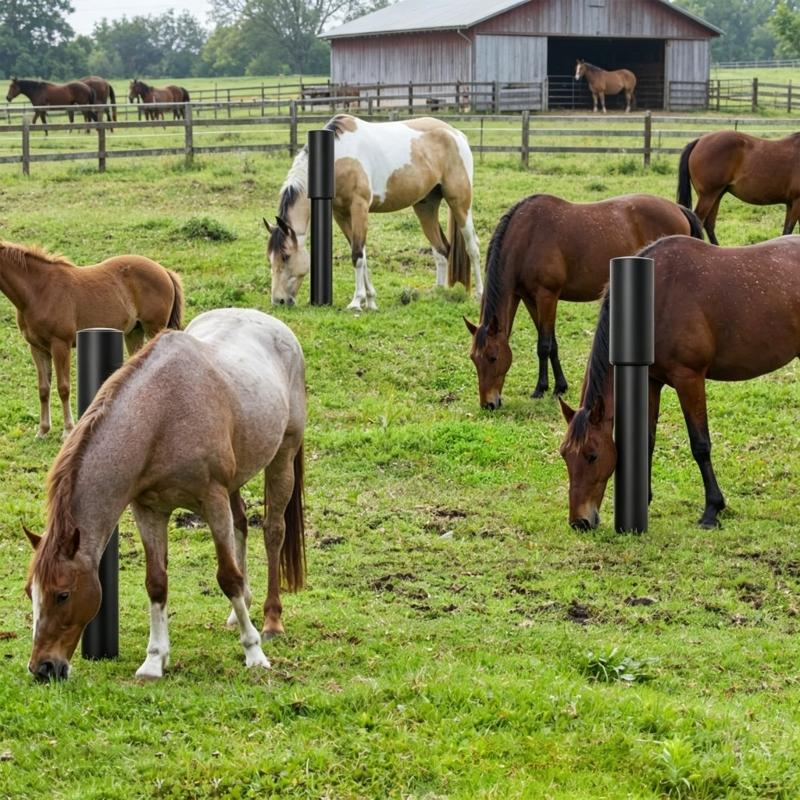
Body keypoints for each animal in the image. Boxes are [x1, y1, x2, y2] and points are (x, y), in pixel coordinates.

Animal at [0, 240, 183, 439]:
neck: (38, 290)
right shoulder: (37, 348)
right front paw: (42, 431)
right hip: (134, 333)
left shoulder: (60, 345)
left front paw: (68, 430)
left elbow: (63, 388)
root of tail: (165, 271)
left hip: (154, 329)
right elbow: (43, 389)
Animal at [24, 308, 306, 682]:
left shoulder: (212, 500)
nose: (42, 668)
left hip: (282, 457)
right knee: (242, 524)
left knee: (273, 531)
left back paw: (272, 620)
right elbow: (156, 582)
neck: (161, 419)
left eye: (63, 594)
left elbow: (227, 577)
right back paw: (239, 613)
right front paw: (154, 660)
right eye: (30, 591)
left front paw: (254, 652)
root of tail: (277, 326)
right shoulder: (148, 510)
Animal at [266, 113, 482, 310]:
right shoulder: (341, 214)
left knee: (472, 247)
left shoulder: (359, 208)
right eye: (270, 257)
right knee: (441, 249)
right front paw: (370, 301)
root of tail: (456, 134)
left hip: (460, 204)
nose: (278, 301)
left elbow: (357, 255)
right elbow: (362, 254)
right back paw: (438, 293)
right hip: (425, 207)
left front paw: (356, 302)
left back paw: (479, 294)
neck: (338, 156)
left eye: (285, 256)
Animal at [463, 194, 702, 409]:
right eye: (473, 358)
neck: (526, 237)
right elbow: (552, 343)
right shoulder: (529, 299)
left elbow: (544, 345)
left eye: (493, 357)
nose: (488, 404)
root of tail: (678, 208)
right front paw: (559, 386)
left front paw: (541, 388)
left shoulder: (547, 296)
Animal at [559, 234, 800, 531]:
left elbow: (700, 444)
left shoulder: (689, 378)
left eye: (592, 455)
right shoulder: (651, 381)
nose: (579, 522)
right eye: (564, 454)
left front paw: (712, 509)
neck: (656, 299)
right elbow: (647, 440)